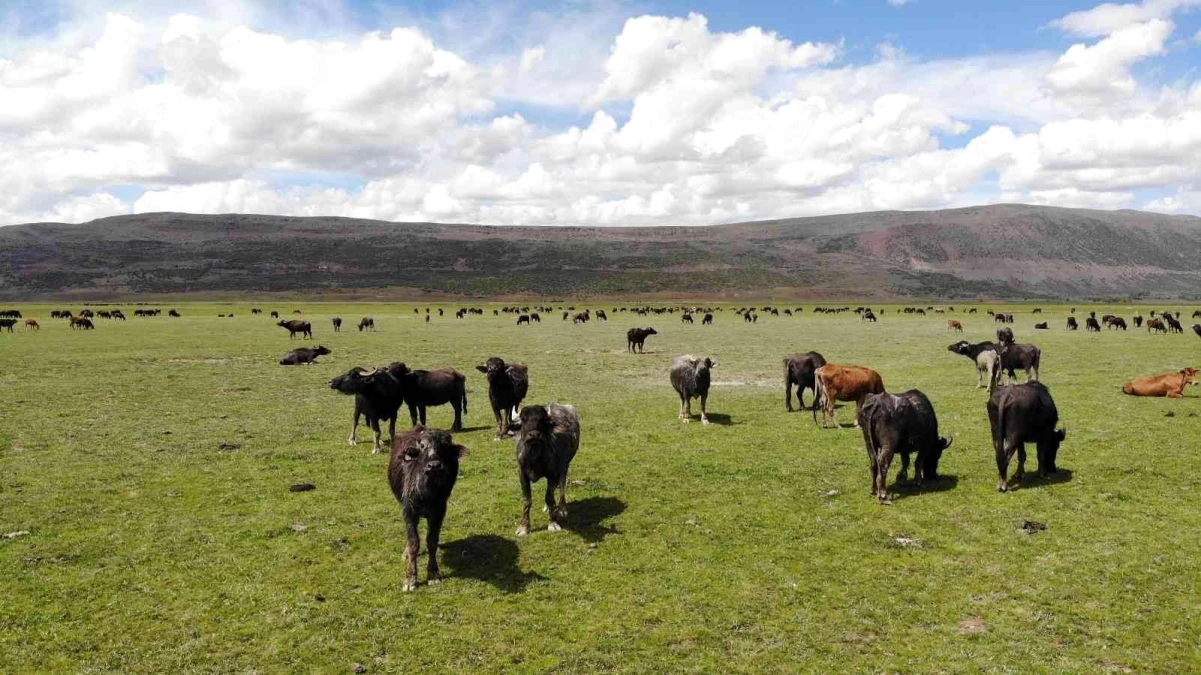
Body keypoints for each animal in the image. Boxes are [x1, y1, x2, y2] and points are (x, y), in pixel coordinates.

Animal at [391, 425, 470, 588]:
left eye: (444, 446)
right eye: (422, 446)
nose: (434, 466)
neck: (427, 493)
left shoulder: (439, 512)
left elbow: (432, 541)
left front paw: (433, 574)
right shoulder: (408, 512)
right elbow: (414, 542)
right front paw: (410, 578)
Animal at [514, 401, 578, 533]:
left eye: (542, 419)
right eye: (524, 419)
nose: (534, 435)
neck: (534, 458)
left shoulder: (552, 474)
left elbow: (549, 497)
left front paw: (553, 523)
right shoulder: (522, 475)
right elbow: (527, 500)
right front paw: (524, 527)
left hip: (565, 466)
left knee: (562, 486)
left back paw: (562, 509)